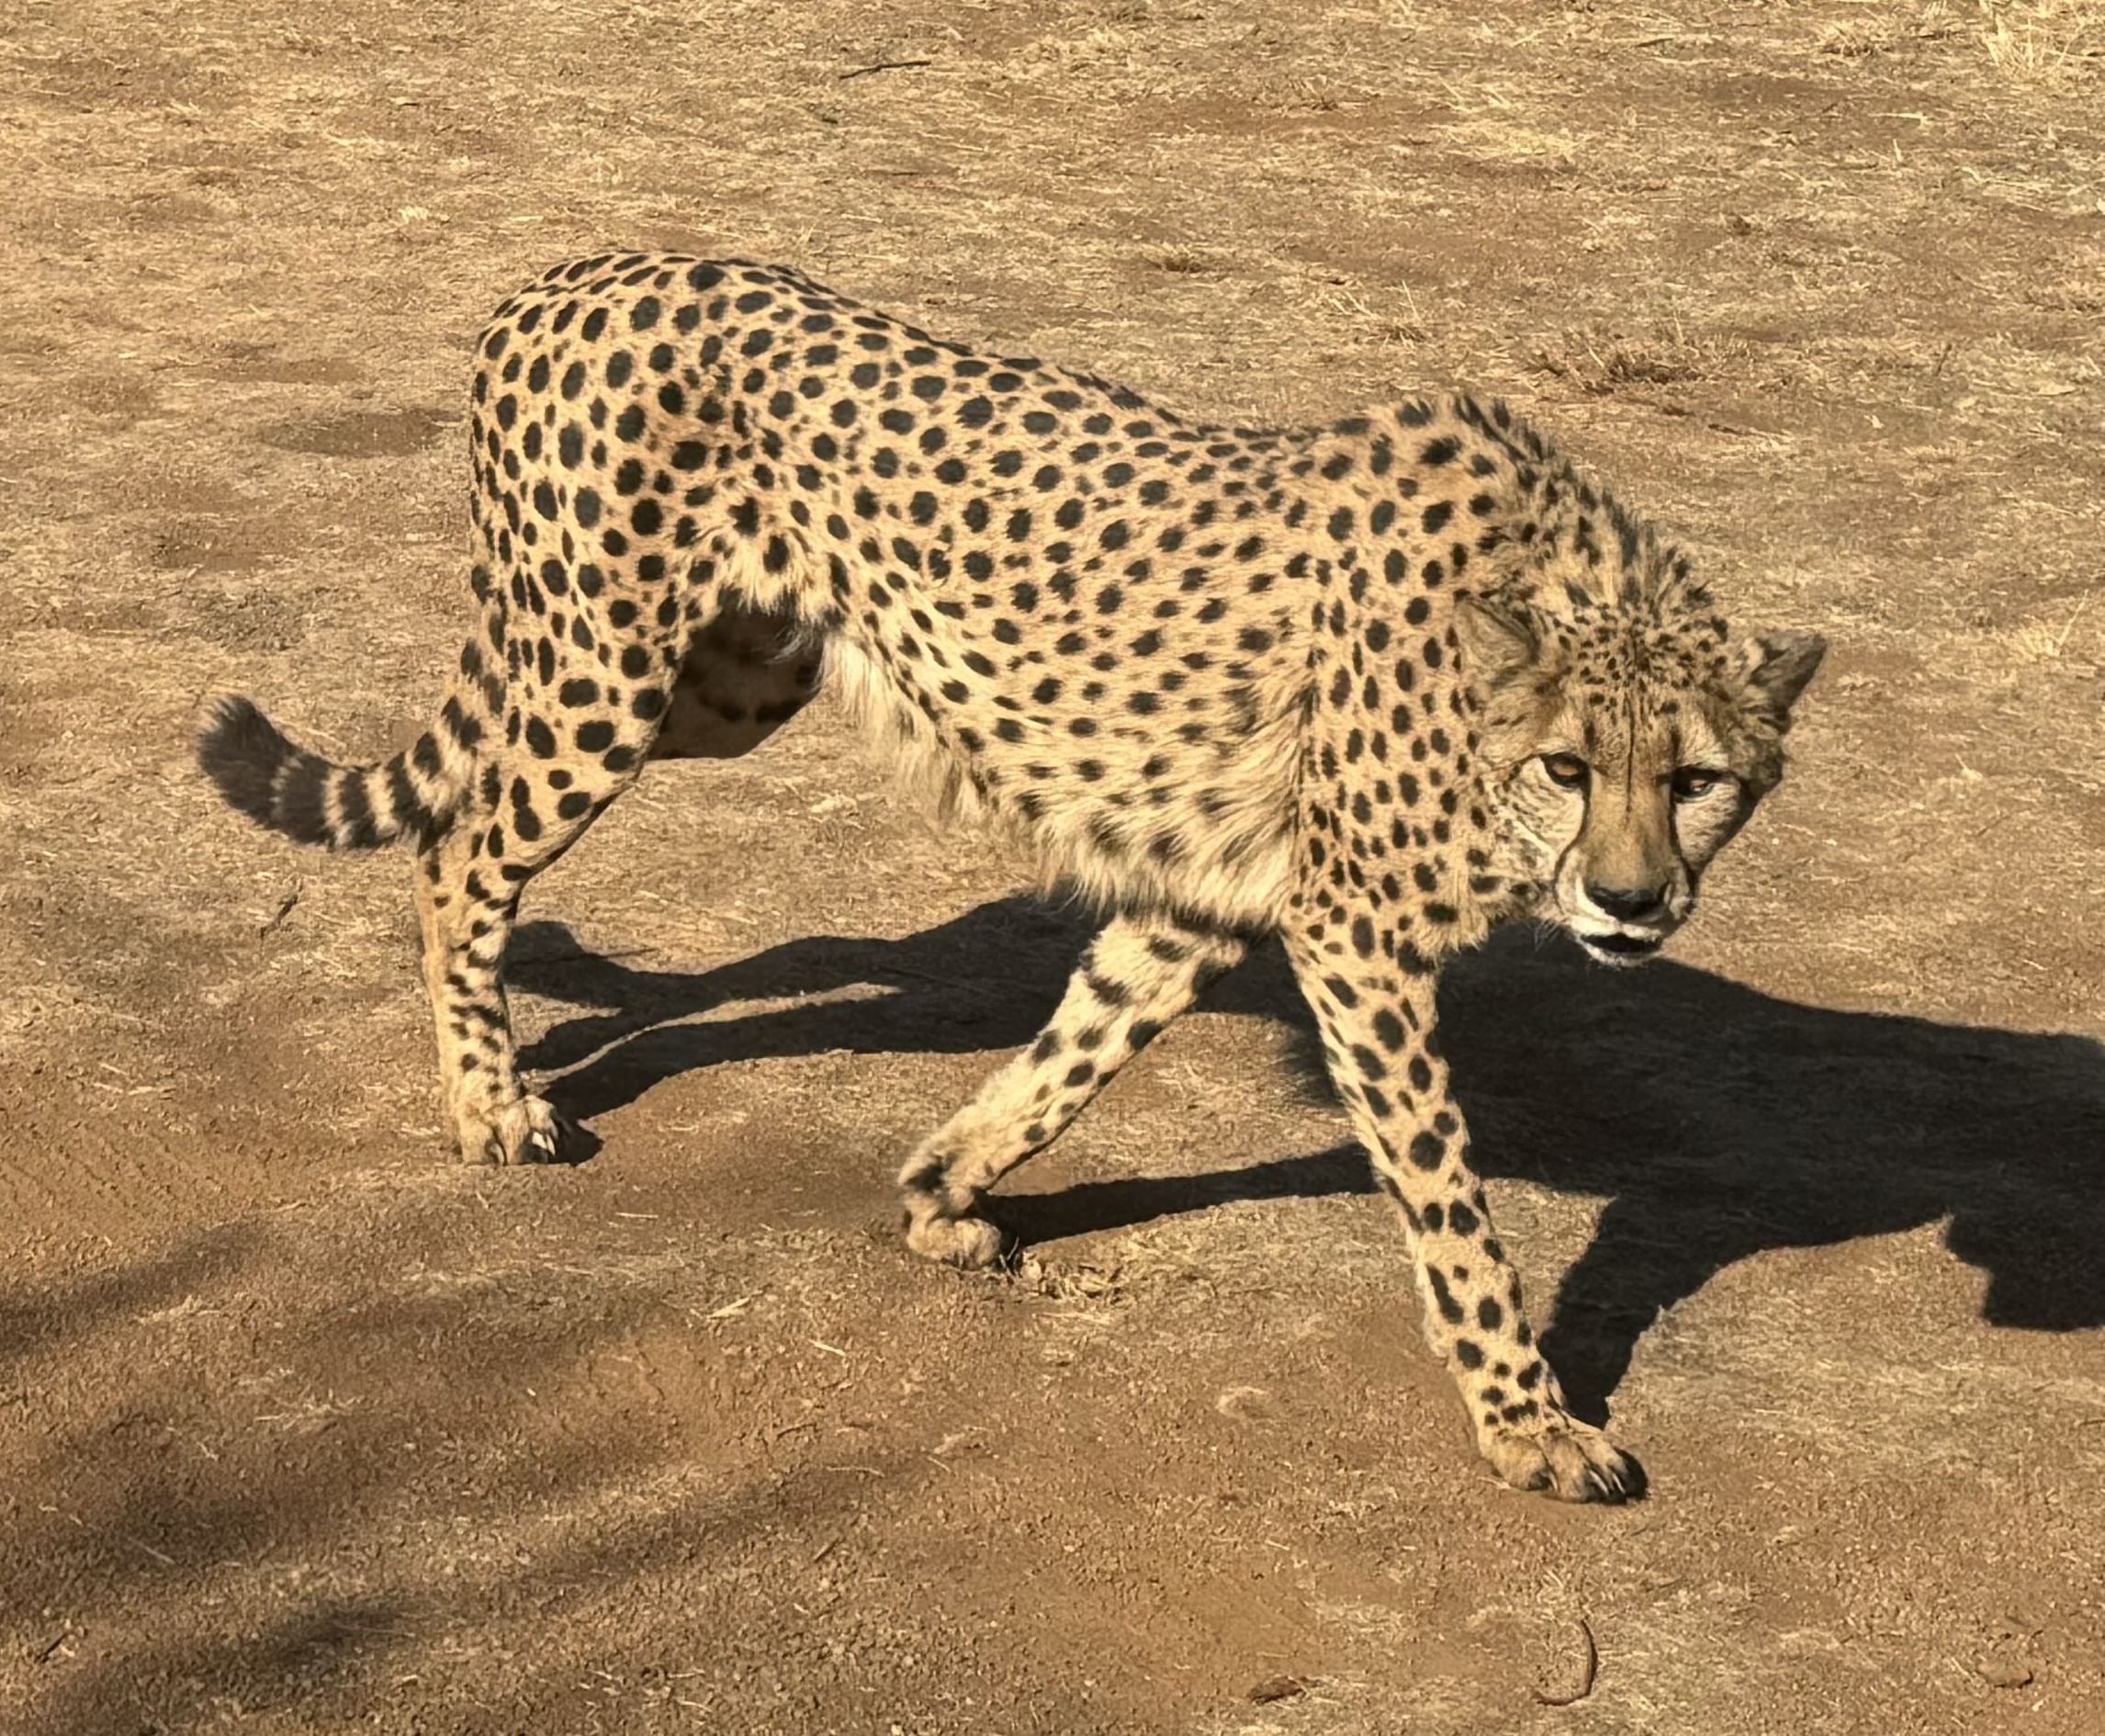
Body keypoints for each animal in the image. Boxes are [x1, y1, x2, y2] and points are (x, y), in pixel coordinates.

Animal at [198, 251, 1826, 1503]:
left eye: (1697, 782)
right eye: (1569, 768)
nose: (1632, 903)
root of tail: (573, 273)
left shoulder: (1201, 896)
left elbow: (1073, 1054)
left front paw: (943, 1187)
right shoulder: (1355, 936)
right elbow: (1449, 1202)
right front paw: (1530, 1423)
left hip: (723, 685)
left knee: (527, 839)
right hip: (607, 677)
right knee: (461, 844)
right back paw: (489, 1098)